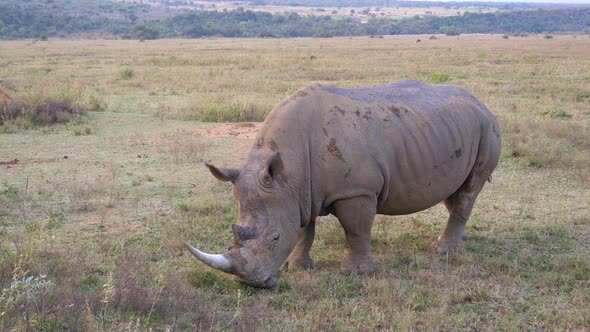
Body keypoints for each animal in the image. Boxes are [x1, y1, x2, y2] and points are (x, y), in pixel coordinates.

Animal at [187, 80, 502, 288]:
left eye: (275, 238)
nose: (253, 283)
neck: (289, 173)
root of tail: (480, 101)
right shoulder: (298, 192)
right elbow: (303, 230)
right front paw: (297, 266)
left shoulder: (355, 192)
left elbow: (355, 230)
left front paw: (356, 272)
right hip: (452, 129)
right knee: (455, 192)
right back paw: (459, 240)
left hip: (487, 127)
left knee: (469, 190)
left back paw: (444, 251)